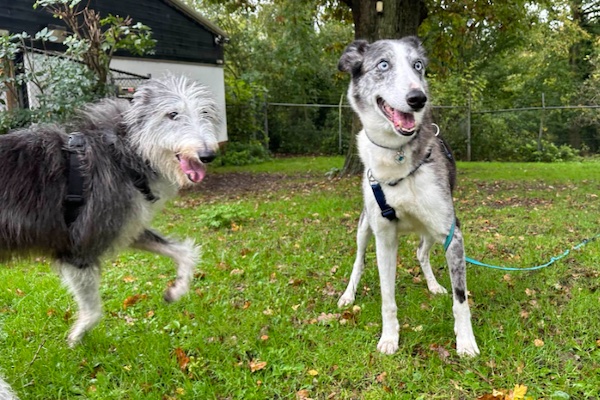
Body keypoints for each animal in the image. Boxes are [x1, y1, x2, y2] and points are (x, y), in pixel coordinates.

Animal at [0, 75, 220, 346]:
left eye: (205, 112)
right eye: (172, 114)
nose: (208, 155)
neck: (126, 152)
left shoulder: (125, 226)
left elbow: (185, 252)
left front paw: (177, 290)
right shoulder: (79, 248)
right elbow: (94, 311)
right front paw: (77, 336)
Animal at [338, 36, 478, 356]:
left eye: (418, 66)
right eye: (383, 65)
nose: (418, 98)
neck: (396, 154)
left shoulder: (452, 232)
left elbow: (460, 299)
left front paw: (465, 341)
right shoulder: (384, 237)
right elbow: (387, 298)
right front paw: (389, 338)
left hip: (430, 229)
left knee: (421, 253)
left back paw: (434, 285)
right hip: (364, 226)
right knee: (358, 261)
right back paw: (348, 295)